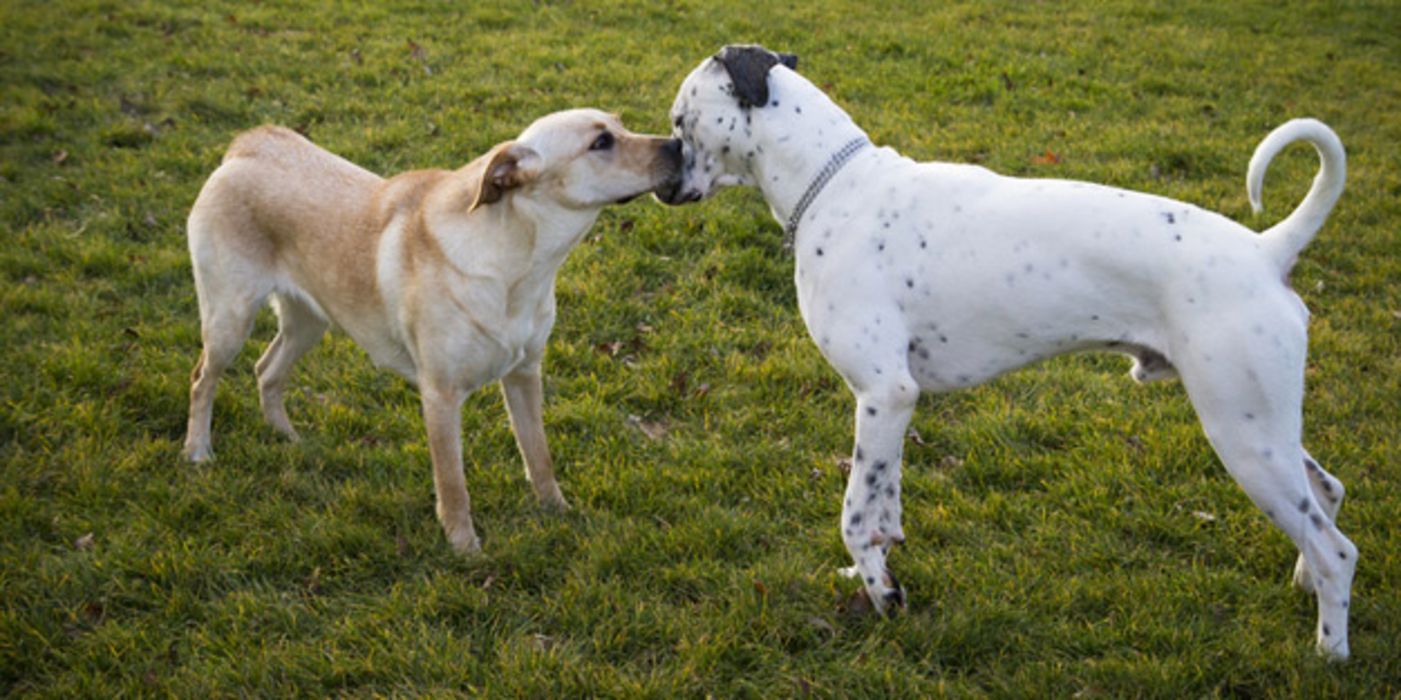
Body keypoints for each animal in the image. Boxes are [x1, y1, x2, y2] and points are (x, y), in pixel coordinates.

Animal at [180, 110, 683, 557]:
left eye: (619, 124)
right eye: (601, 142)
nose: (679, 144)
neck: (518, 264)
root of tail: (250, 145)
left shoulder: (525, 375)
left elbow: (538, 455)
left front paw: (557, 511)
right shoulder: (440, 395)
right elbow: (453, 485)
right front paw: (465, 548)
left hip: (310, 322)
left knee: (267, 370)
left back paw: (286, 436)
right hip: (229, 318)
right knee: (203, 379)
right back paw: (197, 450)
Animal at [661, 46, 1361, 658]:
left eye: (678, 120)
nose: (662, 171)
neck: (835, 185)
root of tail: (1267, 250)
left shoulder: (884, 395)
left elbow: (856, 514)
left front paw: (884, 596)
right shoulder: (891, 408)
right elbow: (884, 505)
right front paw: (870, 576)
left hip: (1240, 436)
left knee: (1337, 548)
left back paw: (1329, 651)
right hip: (1261, 426)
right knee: (1324, 494)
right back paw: (1306, 586)